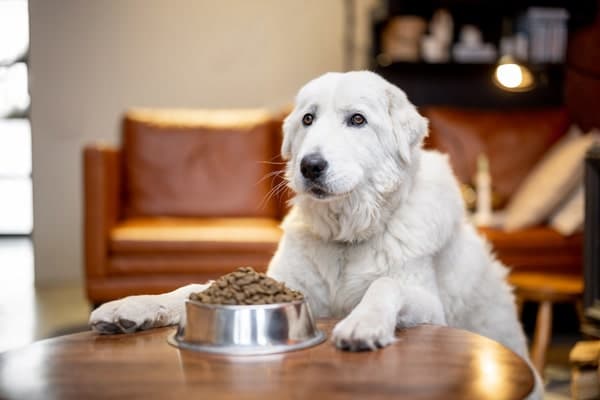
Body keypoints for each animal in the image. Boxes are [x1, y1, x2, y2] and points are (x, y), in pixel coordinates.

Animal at [91, 71, 540, 396]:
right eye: (308, 118)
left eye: (357, 119)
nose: (310, 166)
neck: (346, 236)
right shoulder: (284, 286)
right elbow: (192, 287)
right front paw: (133, 306)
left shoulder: (430, 306)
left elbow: (385, 286)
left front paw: (364, 324)